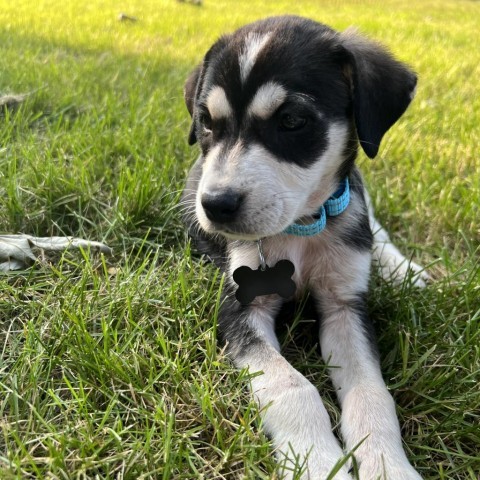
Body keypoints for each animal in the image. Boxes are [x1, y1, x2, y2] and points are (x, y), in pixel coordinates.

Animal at [181, 15, 424, 480]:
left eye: (292, 119)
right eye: (206, 121)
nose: (216, 205)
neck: (302, 230)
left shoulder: (345, 306)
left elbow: (372, 395)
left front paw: (388, 465)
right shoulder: (239, 309)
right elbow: (293, 387)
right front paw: (318, 460)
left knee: (375, 224)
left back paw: (406, 269)